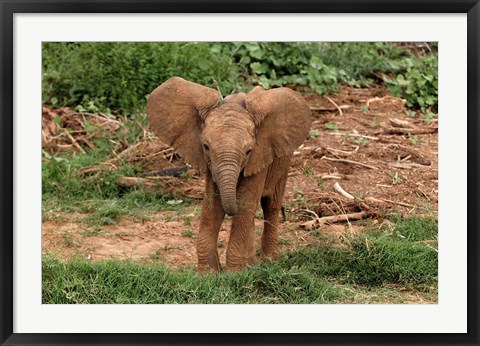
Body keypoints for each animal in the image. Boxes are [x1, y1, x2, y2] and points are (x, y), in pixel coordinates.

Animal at [146, 77, 312, 272]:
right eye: (206, 147)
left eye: (248, 151)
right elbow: (213, 206)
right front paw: (209, 273)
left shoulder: (259, 157)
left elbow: (245, 204)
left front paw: (235, 274)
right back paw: (253, 264)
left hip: (283, 160)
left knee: (270, 204)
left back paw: (268, 261)